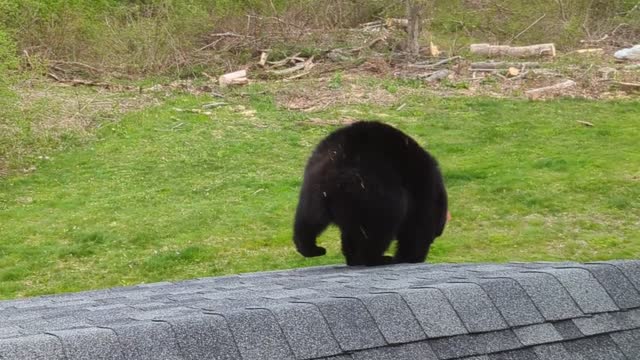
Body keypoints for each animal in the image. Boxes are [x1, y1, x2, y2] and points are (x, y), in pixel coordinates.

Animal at [292, 119, 448, 266]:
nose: (436, 235)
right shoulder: (423, 192)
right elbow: (416, 229)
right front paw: (410, 257)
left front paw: (352, 256)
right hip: (373, 191)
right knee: (381, 226)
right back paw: (378, 258)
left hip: (314, 188)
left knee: (308, 220)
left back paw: (311, 249)